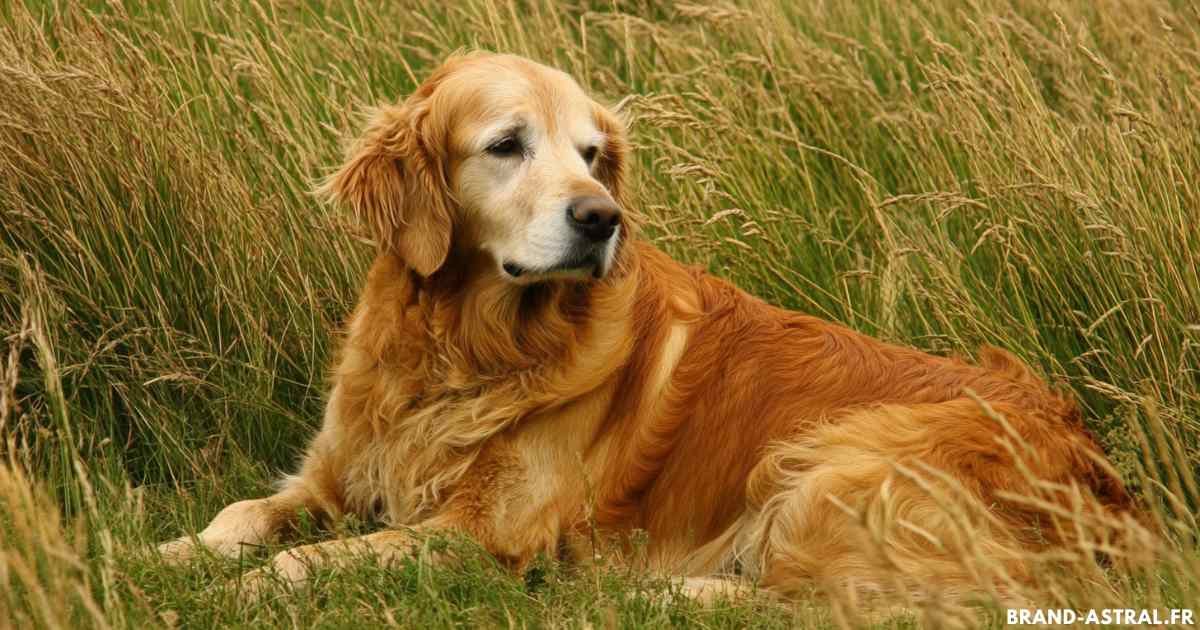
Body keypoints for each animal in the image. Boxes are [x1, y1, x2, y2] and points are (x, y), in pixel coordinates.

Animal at [159, 51, 1142, 602]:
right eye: (507, 144)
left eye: (593, 155)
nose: (602, 219)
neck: (467, 349)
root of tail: (1111, 489)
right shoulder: (335, 470)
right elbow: (246, 511)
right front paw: (179, 550)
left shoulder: (477, 538)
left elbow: (317, 559)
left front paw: (250, 586)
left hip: (835, 465)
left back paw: (663, 595)